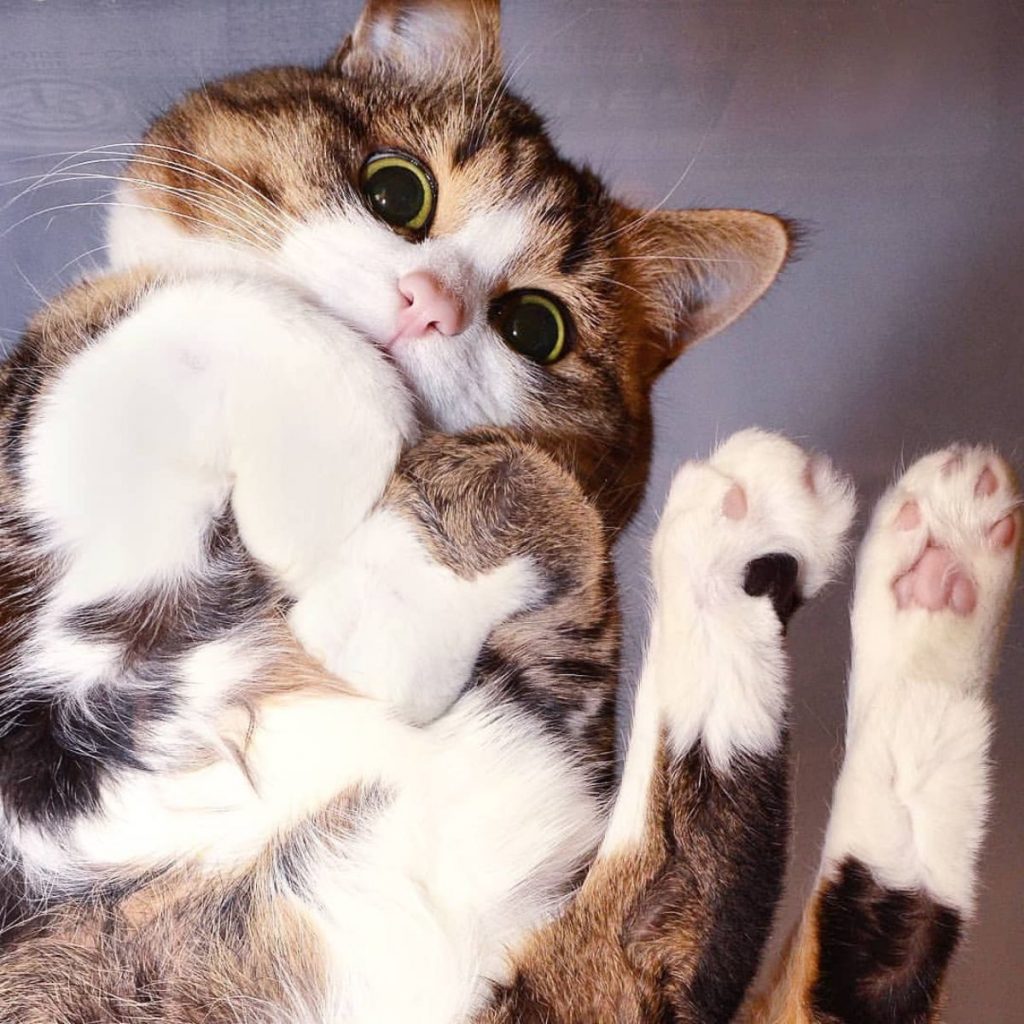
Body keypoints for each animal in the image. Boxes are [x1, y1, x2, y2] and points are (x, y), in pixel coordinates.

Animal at [0, 2, 1011, 1024]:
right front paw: (328, 479)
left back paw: (908, 563)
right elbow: (209, 303)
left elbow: (550, 481)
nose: (430, 306)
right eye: (395, 190)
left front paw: (381, 602)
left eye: (536, 327)